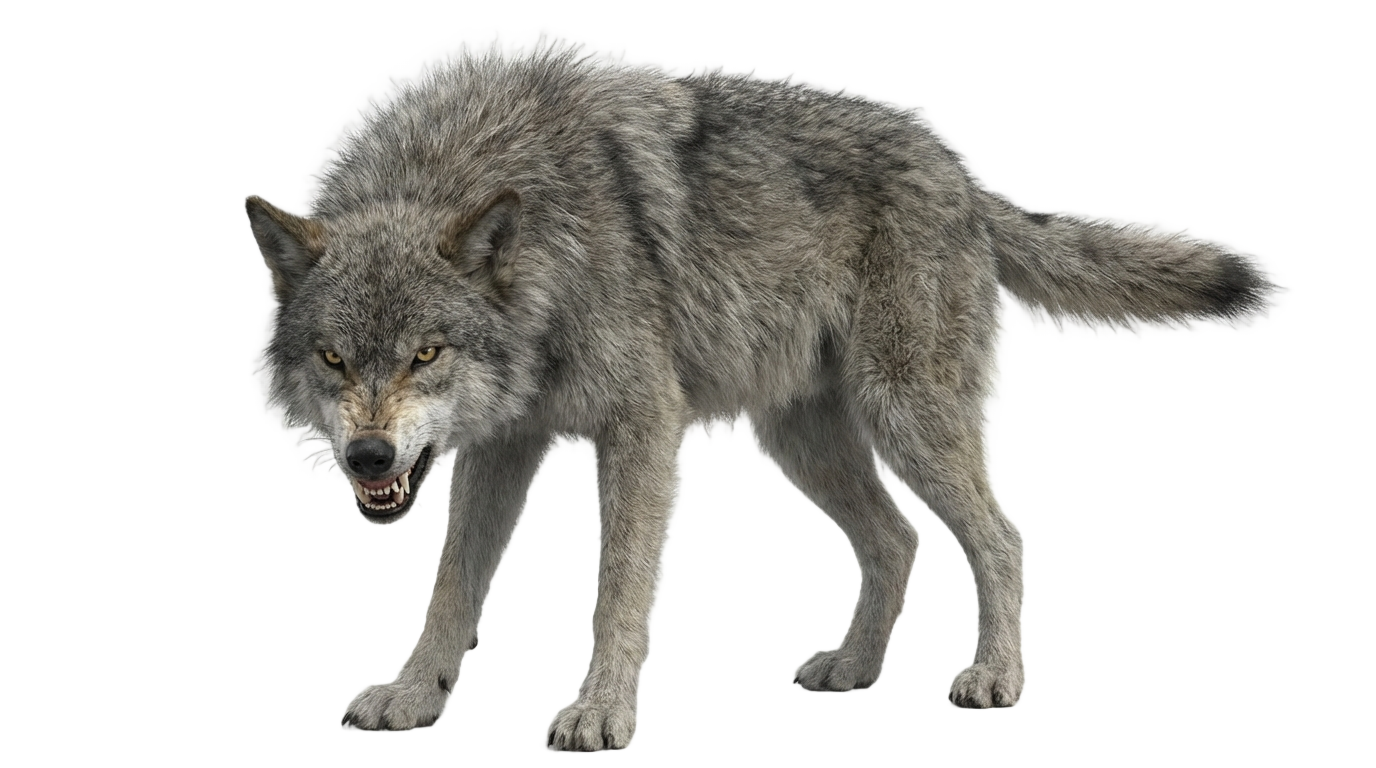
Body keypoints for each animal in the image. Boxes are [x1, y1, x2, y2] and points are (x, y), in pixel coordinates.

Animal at [245, 46, 1269, 751]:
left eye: (426, 353)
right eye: (334, 359)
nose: (369, 458)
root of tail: (963, 174)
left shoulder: (641, 425)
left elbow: (619, 590)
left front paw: (600, 714)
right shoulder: (505, 441)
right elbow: (454, 583)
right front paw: (415, 693)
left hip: (906, 419)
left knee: (1002, 540)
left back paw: (992, 676)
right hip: (802, 438)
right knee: (896, 543)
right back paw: (854, 668)